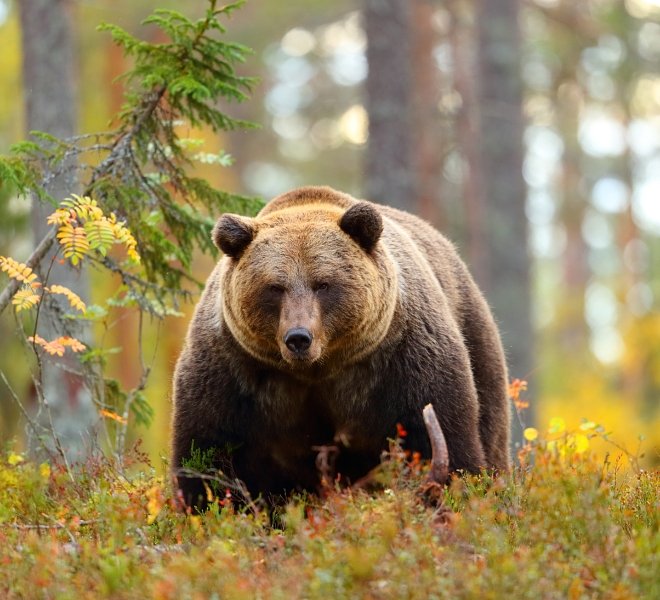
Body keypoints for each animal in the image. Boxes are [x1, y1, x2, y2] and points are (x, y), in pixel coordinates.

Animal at [171, 185, 510, 509]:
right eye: (275, 287)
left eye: (323, 283)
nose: (298, 337)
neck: (318, 370)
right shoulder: (234, 373)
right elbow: (207, 453)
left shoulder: (403, 360)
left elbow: (442, 438)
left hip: (476, 339)